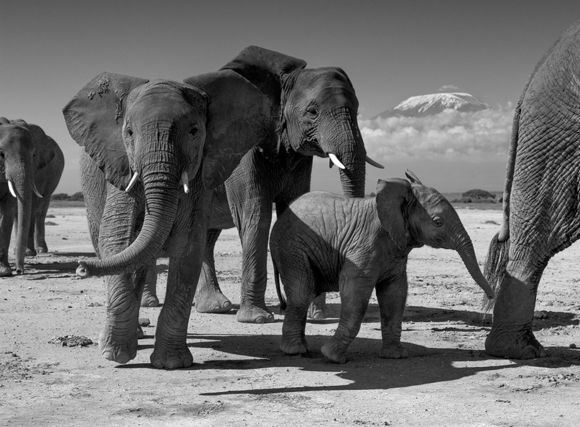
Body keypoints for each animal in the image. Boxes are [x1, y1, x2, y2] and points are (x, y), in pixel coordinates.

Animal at [0, 118, 64, 276]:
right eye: (1, 155)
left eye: (34, 155)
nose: (19, 270)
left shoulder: (39, 170)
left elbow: (8, 211)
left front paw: (4, 271)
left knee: (39, 211)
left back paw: (37, 251)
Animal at [64, 70, 274, 368]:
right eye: (129, 133)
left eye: (194, 131)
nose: (81, 268)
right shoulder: (121, 167)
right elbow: (116, 242)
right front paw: (116, 355)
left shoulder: (200, 174)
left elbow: (187, 249)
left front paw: (171, 364)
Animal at [173, 45, 380, 324]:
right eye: (312, 112)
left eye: (357, 110)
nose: (282, 304)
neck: (282, 82)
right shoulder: (245, 144)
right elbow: (256, 215)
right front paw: (257, 318)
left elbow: (294, 213)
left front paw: (314, 315)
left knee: (206, 235)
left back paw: (215, 306)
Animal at [270, 171, 494, 364]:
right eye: (438, 222)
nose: (492, 297)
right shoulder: (364, 245)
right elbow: (355, 289)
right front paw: (331, 356)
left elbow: (395, 293)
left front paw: (395, 356)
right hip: (291, 248)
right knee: (302, 291)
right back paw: (295, 350)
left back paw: (301, 348)